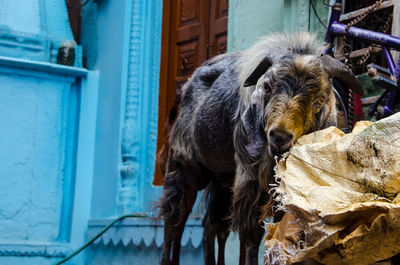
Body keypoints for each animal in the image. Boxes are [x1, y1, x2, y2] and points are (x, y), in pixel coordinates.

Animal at [158, 33, 364, 264]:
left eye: (320, 99)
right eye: (267, 86)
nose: (279, 136)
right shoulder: (250, 181)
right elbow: (251, 236)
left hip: (223, 180)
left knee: (211, 226)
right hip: (185, 165)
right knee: (175, 219)